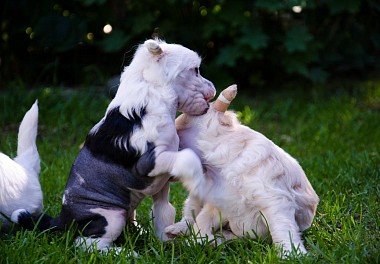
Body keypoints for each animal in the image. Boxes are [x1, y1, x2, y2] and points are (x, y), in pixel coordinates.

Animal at [13, 38, 215, 252]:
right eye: (195, 70)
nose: (213, 92)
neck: (154, 94)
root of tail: (63, 219)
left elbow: (163, 213)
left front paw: (167, 245)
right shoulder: (148, 162)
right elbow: (188, 157)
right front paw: (201, 182)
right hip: (110, 216)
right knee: (88, 244)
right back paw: (126, 253)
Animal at [166, 85, 318, 256]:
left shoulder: (274, 200)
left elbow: (282, 227)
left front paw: (291, 253)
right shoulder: (219, 200)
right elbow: (202, 219)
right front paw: (198, 240)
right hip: (196, 198)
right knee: (190, 211)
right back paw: (179, 229)